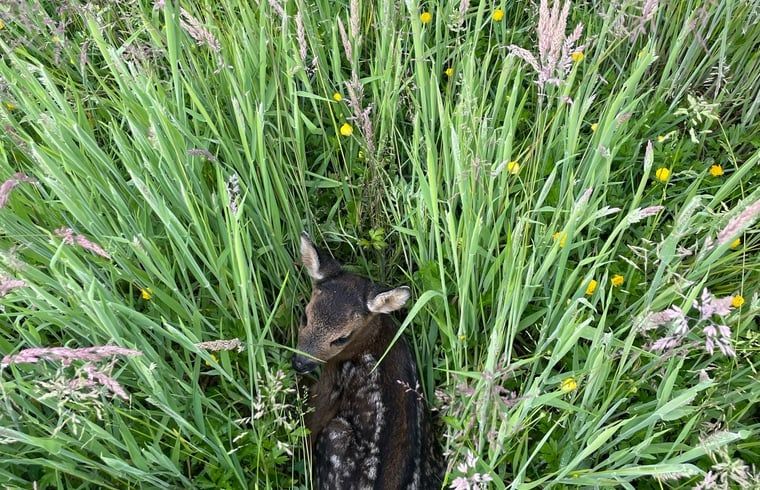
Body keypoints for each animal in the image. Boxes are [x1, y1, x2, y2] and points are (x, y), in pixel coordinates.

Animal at [292, 233, 442, 489]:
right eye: (305, 316)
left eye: (342, 338)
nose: (300, 363)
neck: (374, 339)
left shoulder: (333, 381)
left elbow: (312, 420)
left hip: (334, 434)